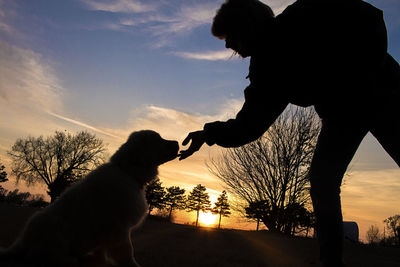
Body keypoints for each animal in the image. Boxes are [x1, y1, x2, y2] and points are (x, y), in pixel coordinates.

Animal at [0, 131, 178, 267]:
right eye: (158, 140)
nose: (177, 142)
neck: (127, 172)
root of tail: (23, 242)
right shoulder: (120, 229)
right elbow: (128, 253)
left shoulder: (108, 232)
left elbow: (103, 251)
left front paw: (101, 261)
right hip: (55, 234)